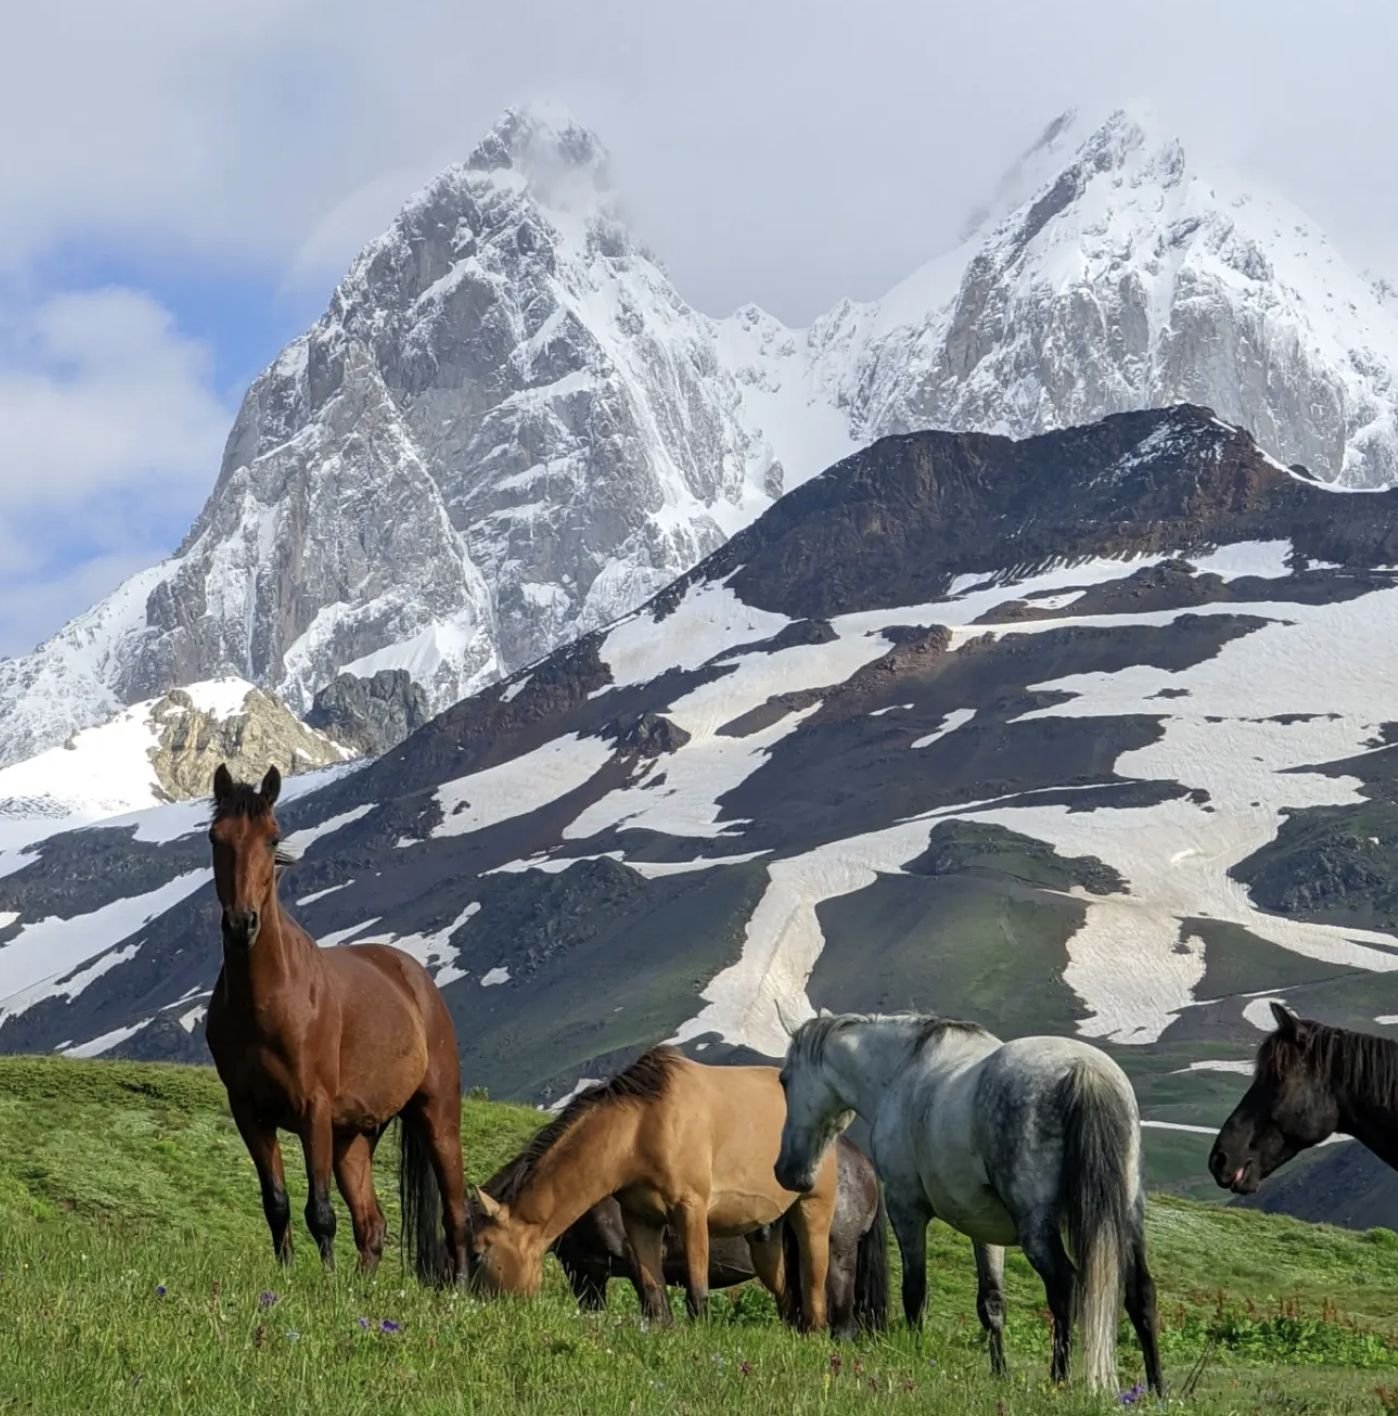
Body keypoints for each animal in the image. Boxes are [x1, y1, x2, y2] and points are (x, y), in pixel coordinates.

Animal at [204, 764, 470, 1283]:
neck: (269, 999)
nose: (242, 924)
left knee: (456, 1213)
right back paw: (361, 1287)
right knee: (372, 1224)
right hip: (354, 1137)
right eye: (215, 837)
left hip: (437, 1115)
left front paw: (324, 1284)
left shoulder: (314, 1109)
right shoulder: (249, 1112)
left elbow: (320, 1211)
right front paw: (288, 1275)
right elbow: (277, 1204)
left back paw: (464, 1290)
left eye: (272, 838)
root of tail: (416, 980)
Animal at [467, 1046, 840, 1326]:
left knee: (815, 1291)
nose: (476, 1308)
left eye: (478, 1252)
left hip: (813, 1213)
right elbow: (654, 1296)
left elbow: (697, 1291)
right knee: (787, 1296)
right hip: (767, 1239)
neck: (642, 1127)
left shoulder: (691, 1211)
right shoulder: (639, 1221)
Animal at [774, 1012, 1162, 1395]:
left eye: (784, 1080)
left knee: (1064, 1287)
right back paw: (1157, 1388)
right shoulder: (983, 1226)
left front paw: (915, 1354)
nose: (787, 1173)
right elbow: (991, 1303)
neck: (901, 1071)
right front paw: (999, 1372)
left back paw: (1060, 1379)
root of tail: (1085, 1072)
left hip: (1037, 1228)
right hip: (1127, 1217)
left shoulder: (906, 1207)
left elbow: (915, 1291)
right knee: (1140, 1293)